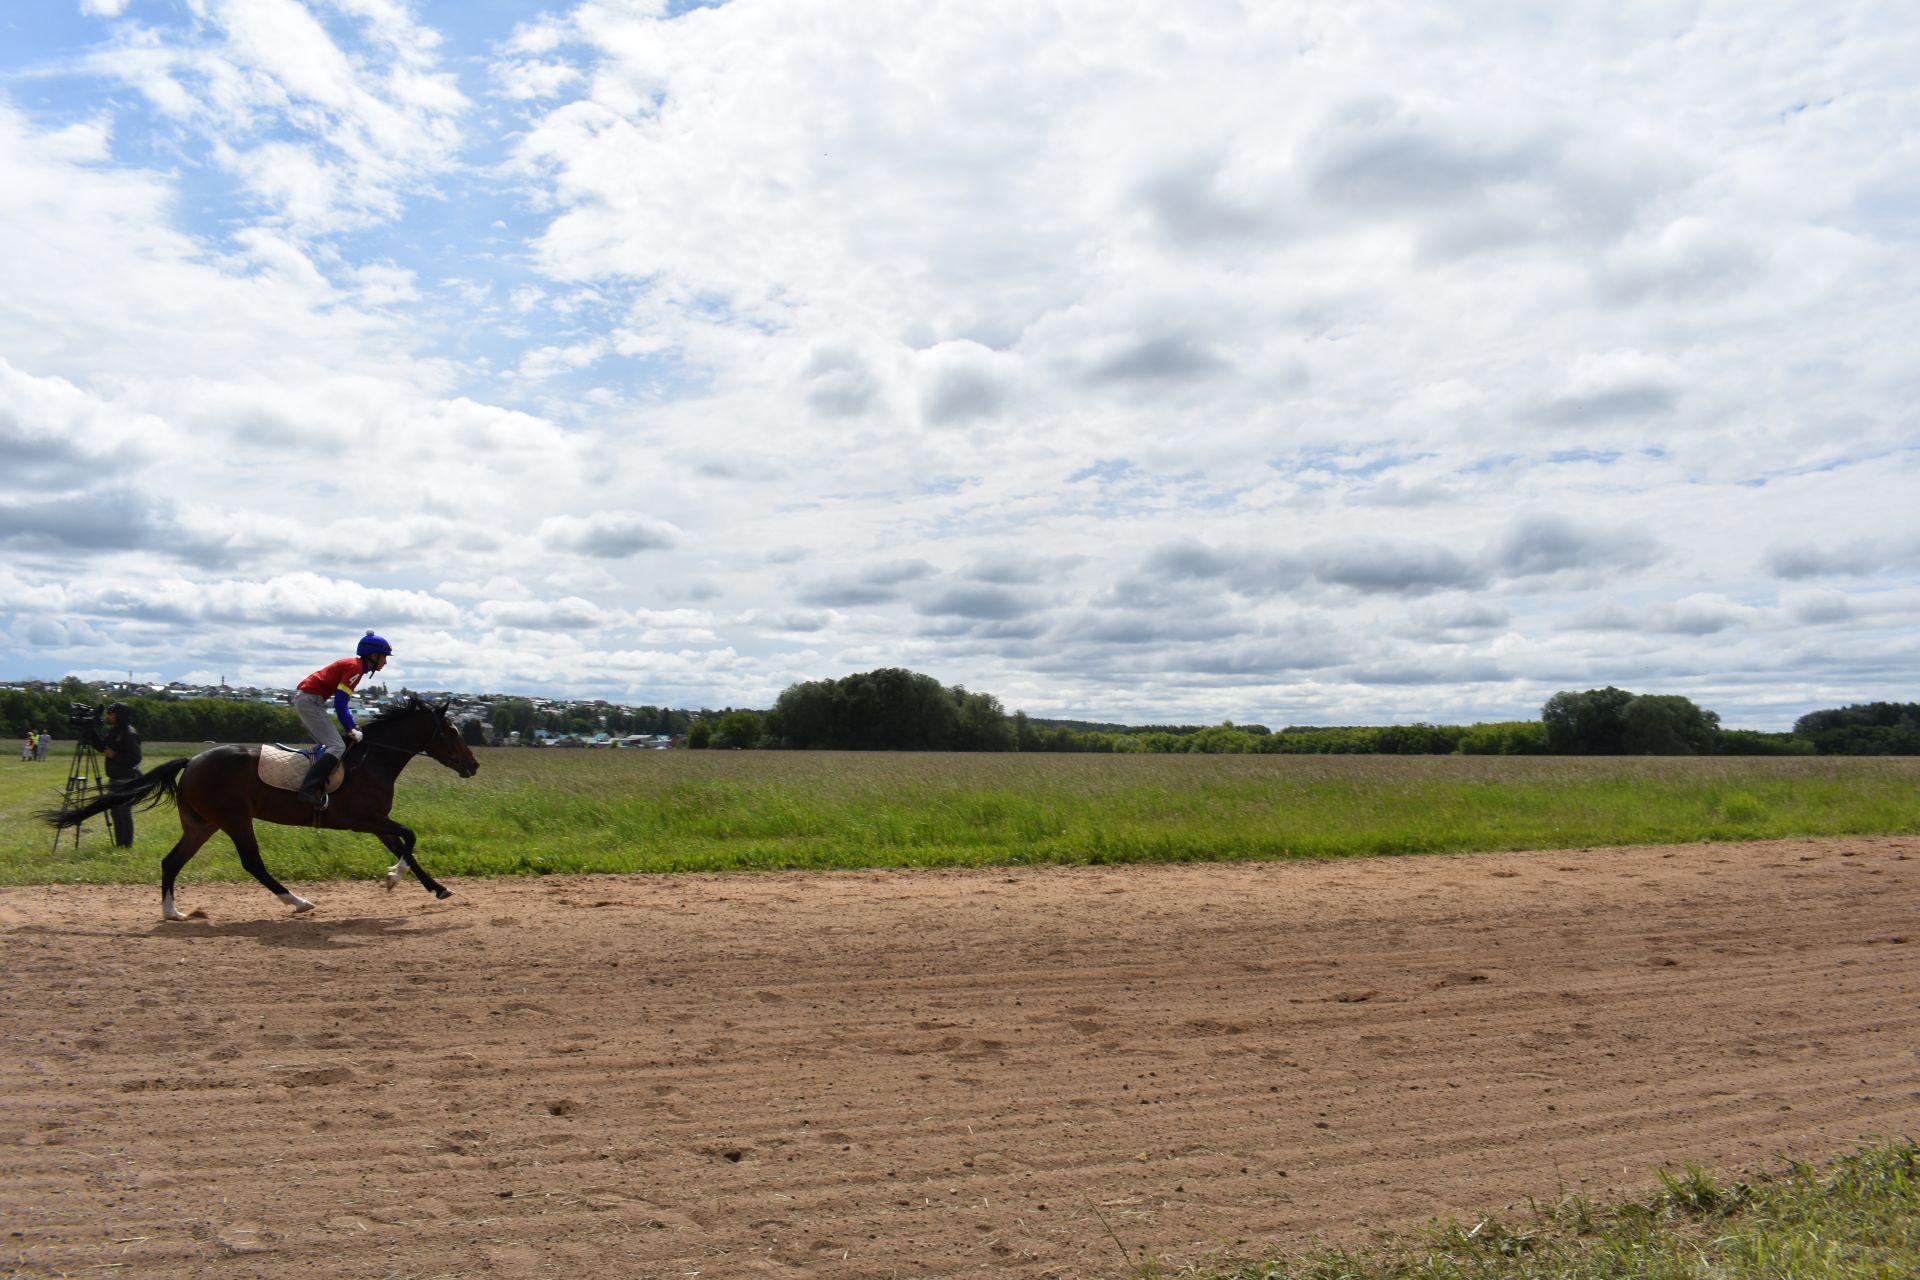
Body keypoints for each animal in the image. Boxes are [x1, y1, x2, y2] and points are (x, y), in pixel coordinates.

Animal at [43, 702, 480, 921]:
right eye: (452, 731)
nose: (473, 765)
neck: (373, 760)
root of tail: (193, 760)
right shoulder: (364, 821)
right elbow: (410, 837)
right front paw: (393, 878)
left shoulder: (375, 824)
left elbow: (407, 846)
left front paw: (438, 888)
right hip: (234, 819)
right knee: (252, 862)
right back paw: (298, 902)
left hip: (202, 824)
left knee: (172, 861)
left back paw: (173, 912)